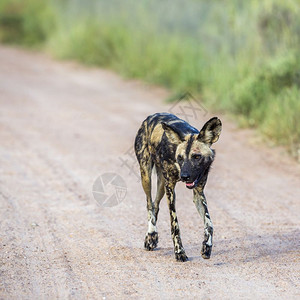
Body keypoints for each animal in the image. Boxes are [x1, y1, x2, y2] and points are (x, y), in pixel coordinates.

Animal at [135, 113, 221, 262]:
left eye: (197, 157)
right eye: (180, 158)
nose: (185, 176)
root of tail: (150, 117)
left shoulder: (198, 192)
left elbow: (209, 223)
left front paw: (207, 247)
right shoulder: (170, 188)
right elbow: (175, 225)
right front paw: (179, 251)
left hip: (161, 184)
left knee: (155, 204)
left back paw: (152, 237)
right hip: (146, 176)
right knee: (149, 204)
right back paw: (151, 234)